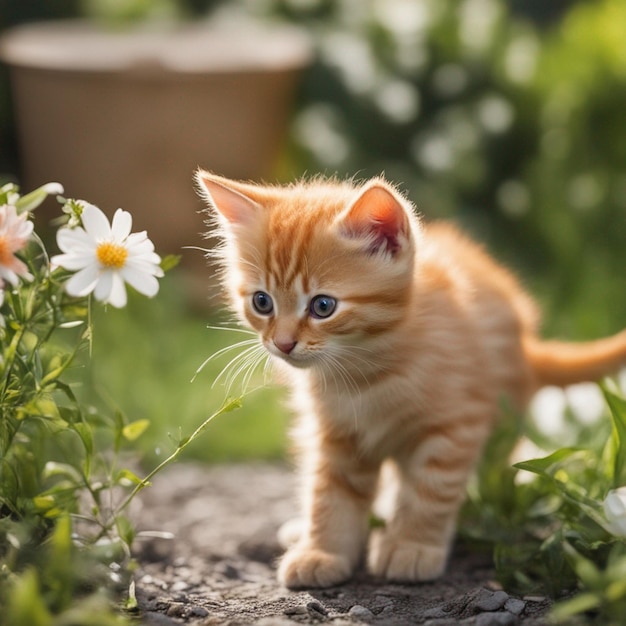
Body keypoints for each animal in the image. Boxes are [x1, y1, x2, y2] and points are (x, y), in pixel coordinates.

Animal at [195, 169, 624, 584]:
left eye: (323, 306)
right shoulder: (335, 434)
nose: (282, 344)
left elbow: (430, 492)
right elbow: (329, 493)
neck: (365, 371)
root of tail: (526, 345)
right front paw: (322, 551)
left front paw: (413, 547)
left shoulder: (456, 425)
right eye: (262, 302)